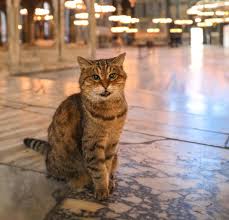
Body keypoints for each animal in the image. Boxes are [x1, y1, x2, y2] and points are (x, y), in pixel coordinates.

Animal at [23, 53, 128, 201]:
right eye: (95, 77)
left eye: (112, 75)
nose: (105, 85)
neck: (111, 112)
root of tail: (49, 150)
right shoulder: (91, 143)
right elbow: (98, 169)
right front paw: (101, 189)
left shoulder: (112, 143)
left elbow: (106, 166)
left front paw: (107, 183)